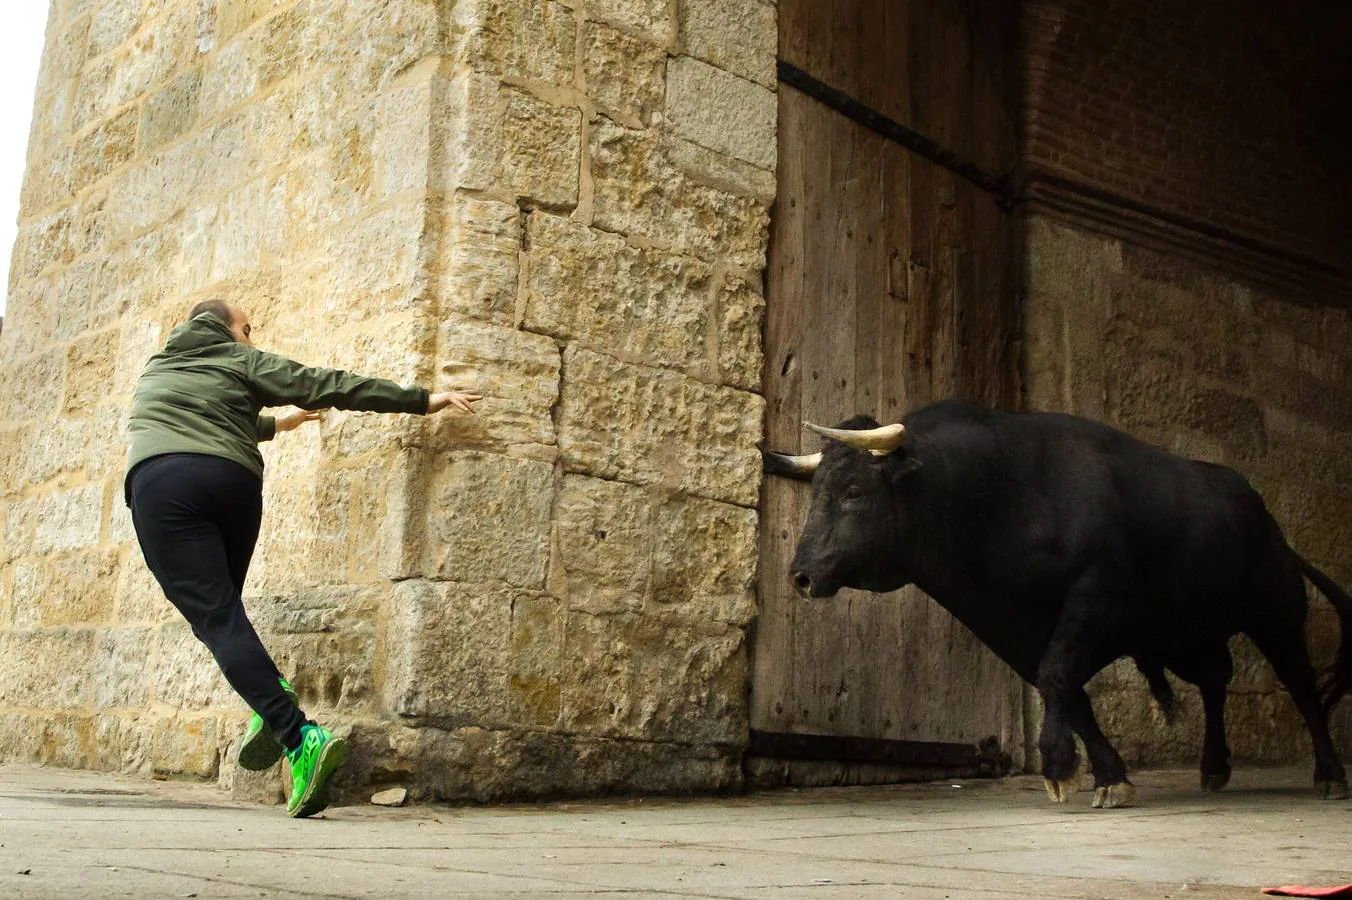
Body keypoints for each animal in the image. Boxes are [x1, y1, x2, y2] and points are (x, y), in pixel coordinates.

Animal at [767, 400, 1346, 805]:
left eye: (854, 491)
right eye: (817, 489)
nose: (801, 576)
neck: (1000, 499)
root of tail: (1263, 515)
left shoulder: (1095, 593)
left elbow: (1058, 676)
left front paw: (1060, 764)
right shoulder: (1005, 626)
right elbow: (1066, 688)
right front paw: (1108, 775)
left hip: (1276, 614)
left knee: (1299, 683)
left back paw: (1330, 774)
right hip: (1187, 633)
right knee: (1215, 681)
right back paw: (1215, 766)